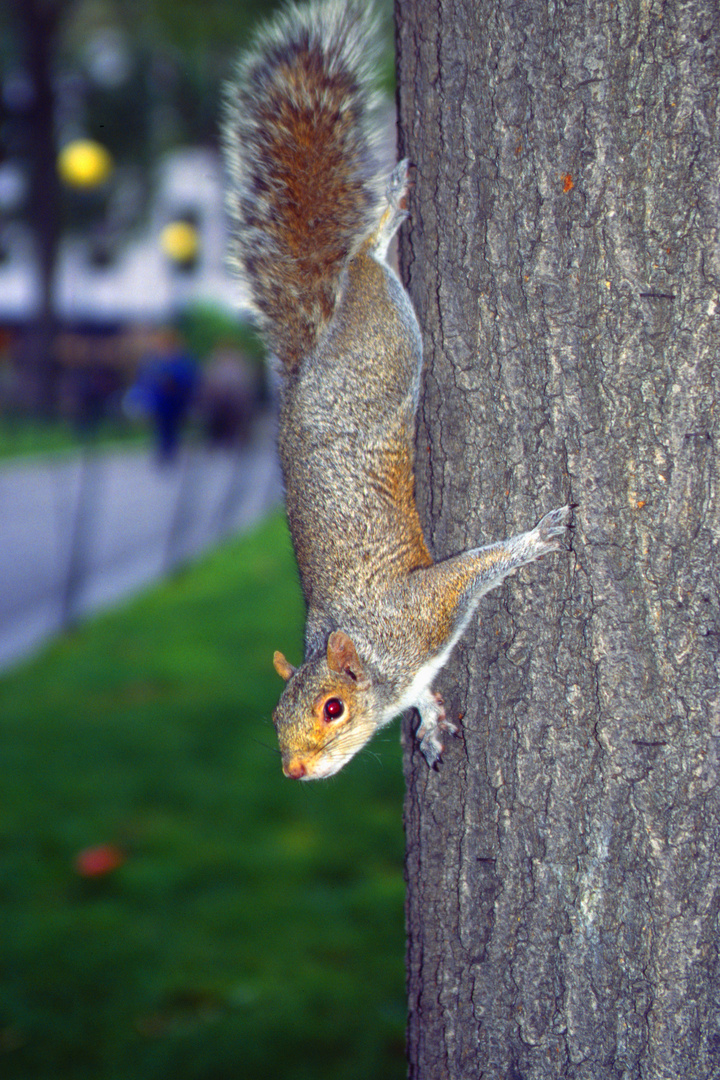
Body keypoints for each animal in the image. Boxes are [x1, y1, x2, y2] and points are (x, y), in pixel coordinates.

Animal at [222, 0, 569, 777]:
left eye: (332, 708)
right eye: (274, 717)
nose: (294, 770)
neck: (377, 659)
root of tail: (314, 359)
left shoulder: (421, 610)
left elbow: (474, 569)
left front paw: (536, 539)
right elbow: (425, 696)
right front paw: (433, 724)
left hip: (390, 338)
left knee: (363, 260)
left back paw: (383, 223)